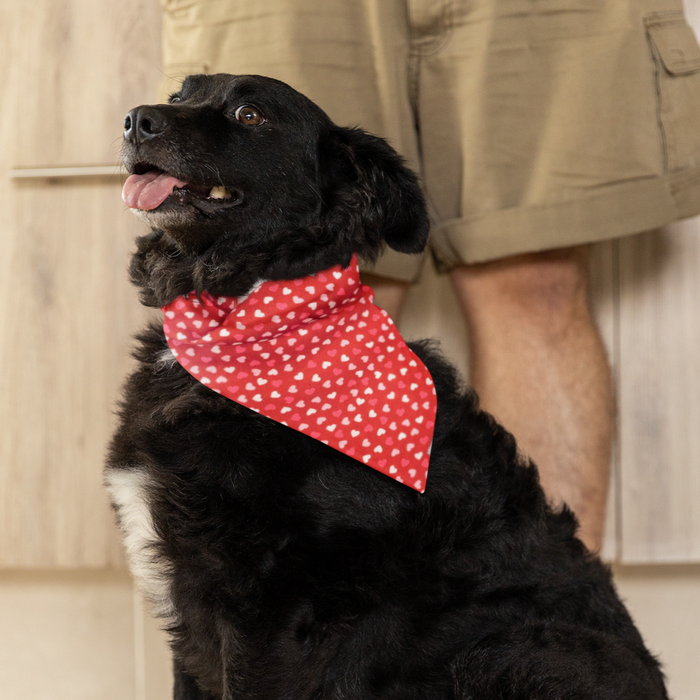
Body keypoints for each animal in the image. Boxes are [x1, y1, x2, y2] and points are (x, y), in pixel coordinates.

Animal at [105, 74, 668, 696]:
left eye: (250, 114)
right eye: (179, 96)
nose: (135, 120)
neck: (244, 310)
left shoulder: (269, 611)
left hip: (504, 652)